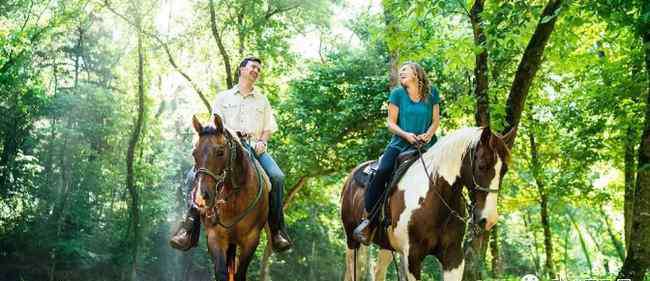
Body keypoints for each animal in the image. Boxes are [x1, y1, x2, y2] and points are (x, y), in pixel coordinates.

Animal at [190, 114, 268, 280]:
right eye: (194, 153)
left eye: (220, 152)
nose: (201, 197)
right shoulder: (215, 237)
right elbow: (221, 273)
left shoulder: (251, 239)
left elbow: (240, 274)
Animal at [340, 127, 512, 280]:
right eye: (482, 166)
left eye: (504, 170)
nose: (488, 219)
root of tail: (350, 178)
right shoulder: (412, 257)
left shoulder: (454, 257)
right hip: (352, 241)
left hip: (386, 245)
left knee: (378, 272)